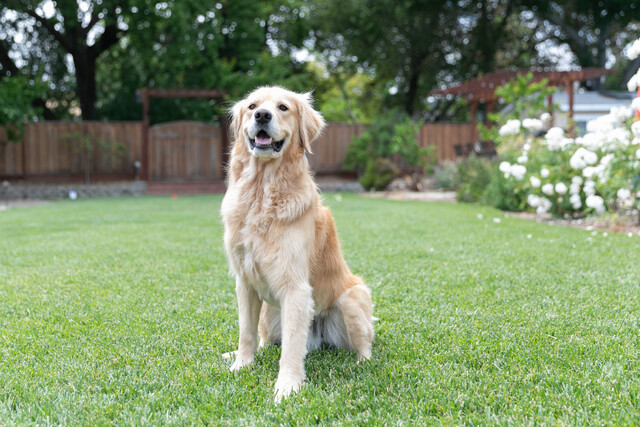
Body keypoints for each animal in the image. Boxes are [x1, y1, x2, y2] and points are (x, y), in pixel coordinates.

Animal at [221, 88, 376, 404]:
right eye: (252, 106)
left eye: (283, 107)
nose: (262, 115)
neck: (261, 191)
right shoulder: (245, 281)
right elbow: (246, 333)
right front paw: (241, 364)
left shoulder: (295, 288)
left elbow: (292, 347)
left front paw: (288, 386)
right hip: (269, 313)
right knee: (265, 340)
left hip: (351, 298)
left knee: (365, 344)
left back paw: (360, 364)